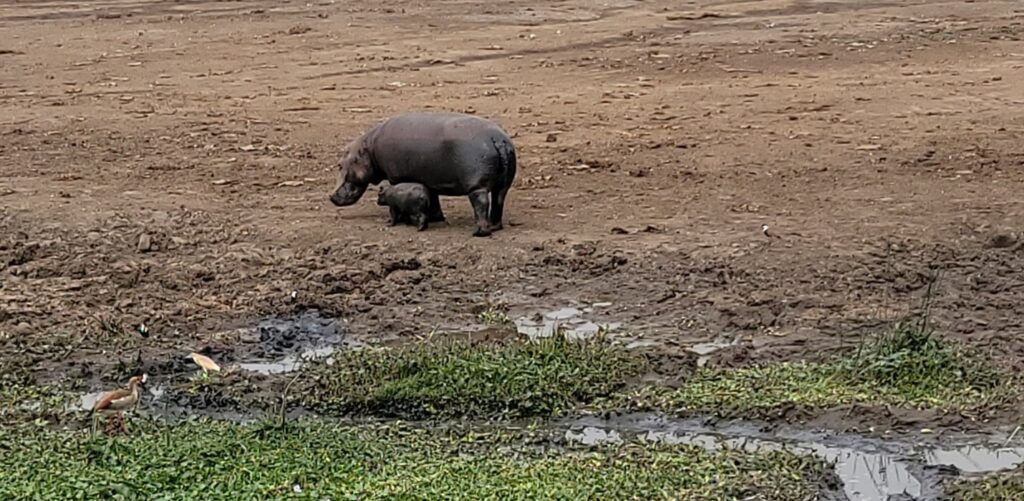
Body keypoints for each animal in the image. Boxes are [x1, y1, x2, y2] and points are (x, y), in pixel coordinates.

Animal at [329, 111, 517, 237]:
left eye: (339, 165)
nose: (331, 196)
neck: (369, 149)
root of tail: (497, 139)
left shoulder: (397, 178)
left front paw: (401, 220)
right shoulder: (430, 180)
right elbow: (433, 199)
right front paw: (435, 219)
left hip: (477, 186)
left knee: (482, 203)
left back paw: (479, 232)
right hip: (503, 185)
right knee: (498, 200)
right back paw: (494, 227)